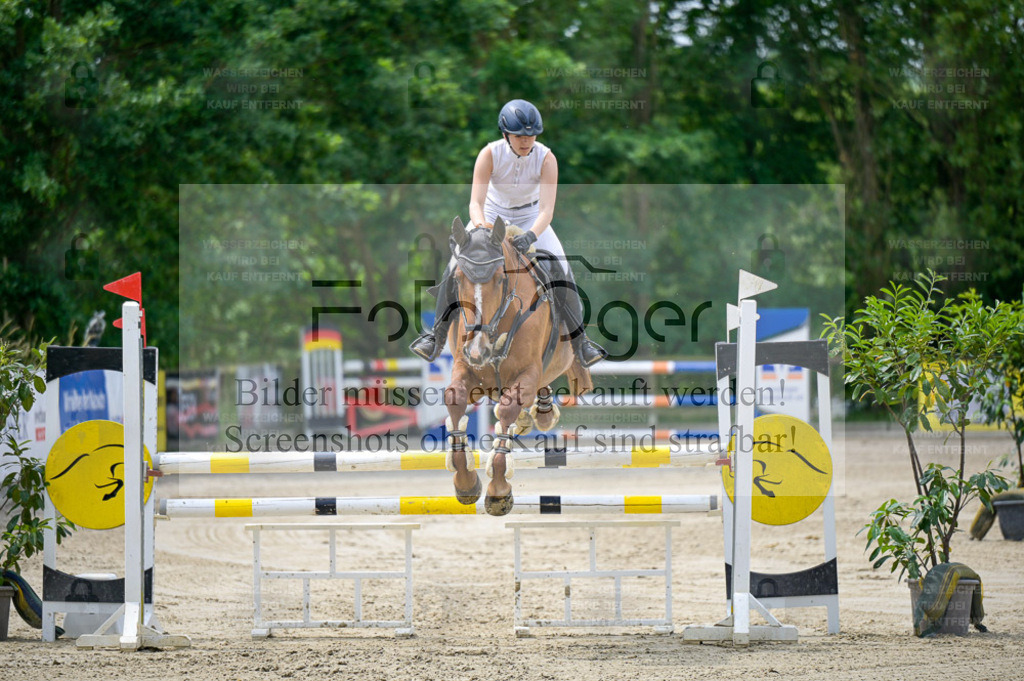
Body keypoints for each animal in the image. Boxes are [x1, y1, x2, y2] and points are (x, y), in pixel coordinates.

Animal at [440, 215, 593, 512]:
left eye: (501, 279)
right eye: (458, 279)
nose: (478, 350)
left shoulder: (528, 372)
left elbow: (508, 409)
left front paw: (499, 489)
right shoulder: (468, 369)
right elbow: (455, 399)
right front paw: (465, 482)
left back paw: (543, 412)